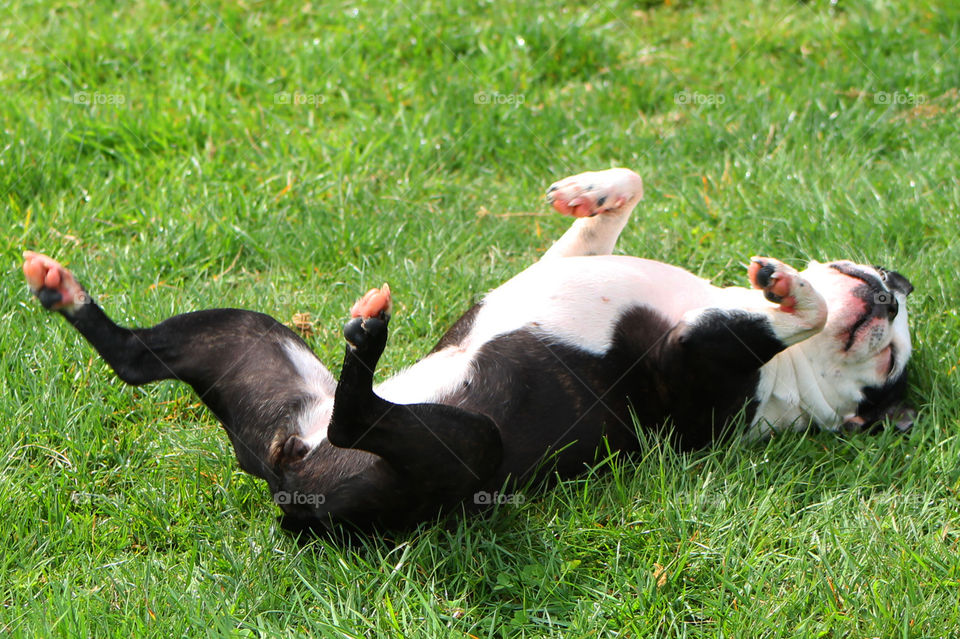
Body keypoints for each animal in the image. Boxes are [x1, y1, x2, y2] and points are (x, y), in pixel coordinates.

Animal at [22, 168, 912, 532]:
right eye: (882, 285)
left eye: (886, 361)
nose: (886, 295)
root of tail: (286, 474)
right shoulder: (570, 260)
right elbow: (621, 196)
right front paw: (588, 187)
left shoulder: (687, 374)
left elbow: (787, 316)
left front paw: (792, 291)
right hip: (256, 338)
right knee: (136, 357)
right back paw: (61, 288)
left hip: (461, 444)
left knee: (358, 415)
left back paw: (370, 338)